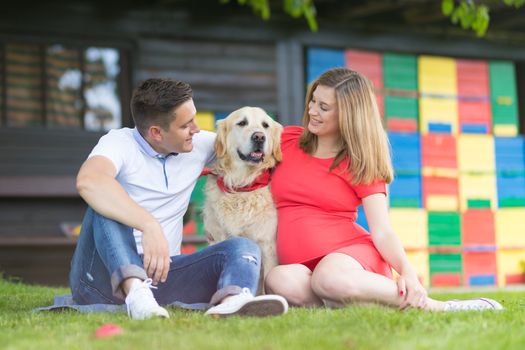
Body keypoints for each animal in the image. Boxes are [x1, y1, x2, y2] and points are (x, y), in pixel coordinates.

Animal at [203, 105, 282, 278]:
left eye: (265, 125)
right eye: (242, 123)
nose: (259, 137)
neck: (242, 187)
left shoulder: (268, 248)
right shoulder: (218, 239)